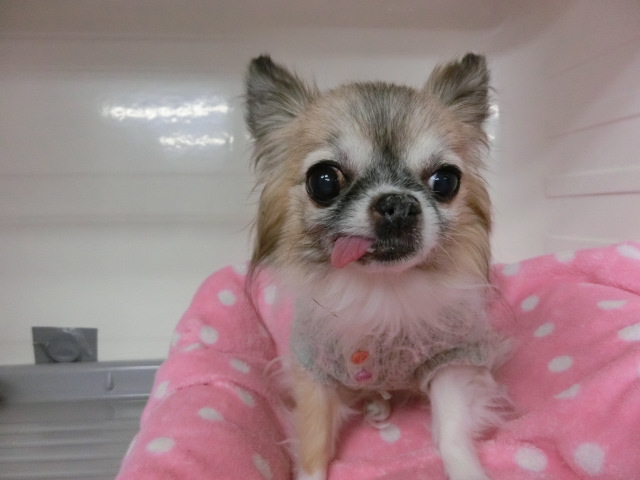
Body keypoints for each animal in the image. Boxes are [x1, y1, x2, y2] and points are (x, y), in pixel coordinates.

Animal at [244, 53, 506, 480]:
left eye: (445, 180)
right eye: (323, 180)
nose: (398, 204)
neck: (381, 290)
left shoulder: (453, 359)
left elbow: (451, 429)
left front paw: (467, 470)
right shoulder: (313, 369)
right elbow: (314, 441)